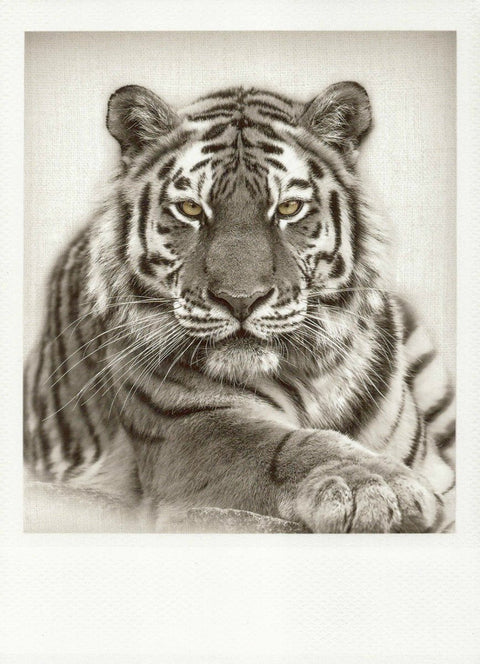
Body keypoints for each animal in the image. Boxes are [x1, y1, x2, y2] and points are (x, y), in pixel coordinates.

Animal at [23, 81, 456, 533]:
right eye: (191, 209)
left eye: (288, 208)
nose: (240, 299)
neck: (312, 376)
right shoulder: (188, 429)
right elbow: (287, 447)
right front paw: (377, 487)